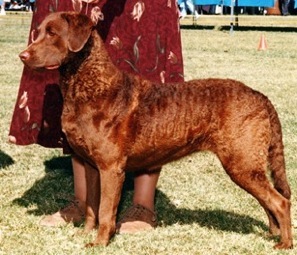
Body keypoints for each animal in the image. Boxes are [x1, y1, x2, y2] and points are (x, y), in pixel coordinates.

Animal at [19, 11, 292, 249]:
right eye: (39, 31)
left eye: (52, 33)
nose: (22, 55)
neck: (90, 87)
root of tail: (261, 97)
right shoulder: (90, 165)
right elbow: (91, 207)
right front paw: (86, 234)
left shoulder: (111, 168)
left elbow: (106, 210)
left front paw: (100, 242)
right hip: (247, 165)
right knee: (268, 201)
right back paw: (273, 234)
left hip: (242, 163)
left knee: (281, 201)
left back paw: (285, 243)